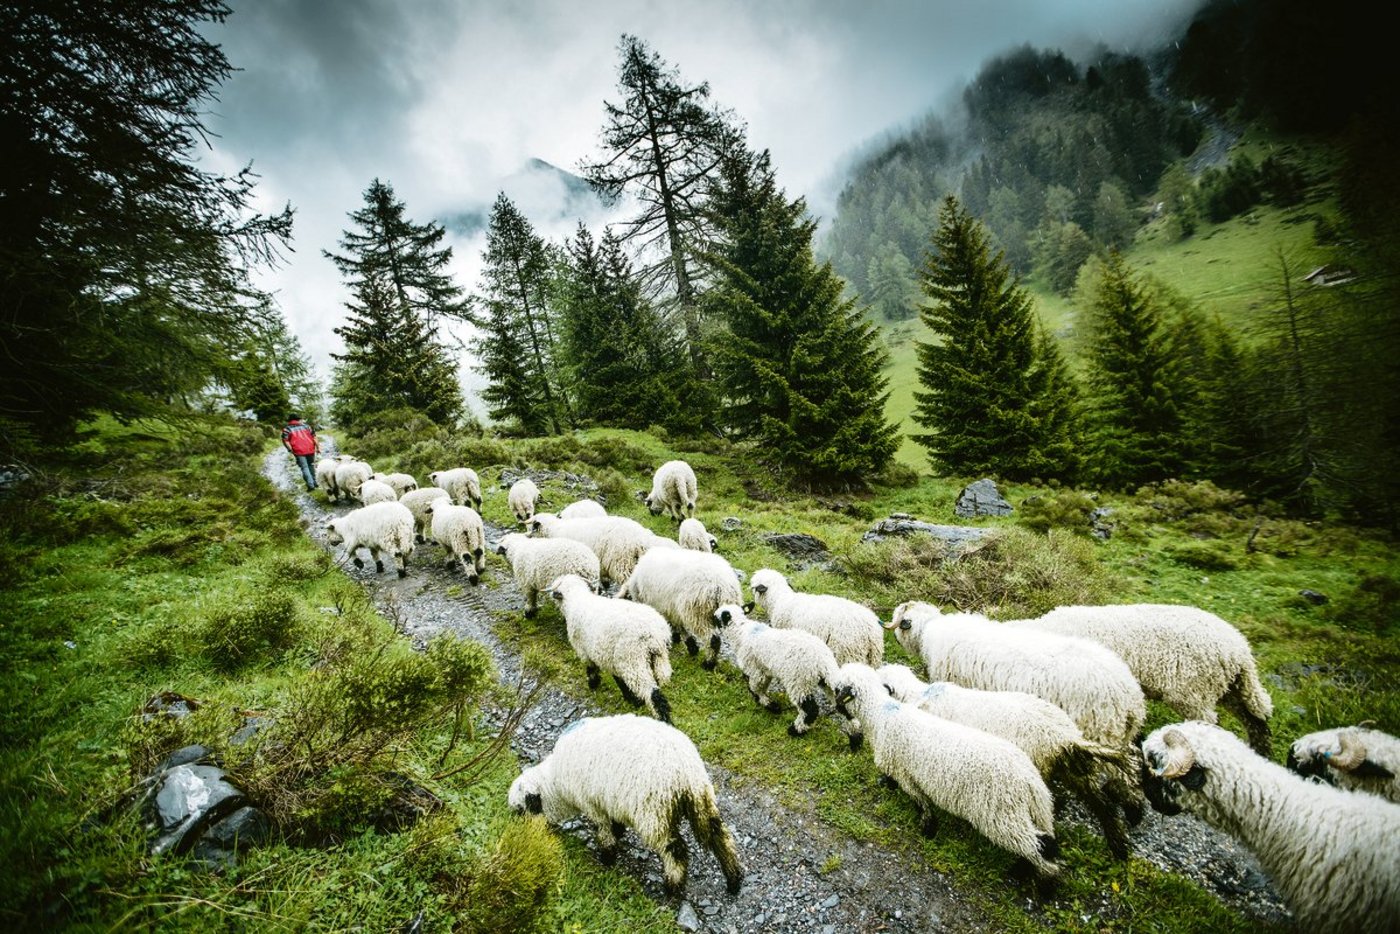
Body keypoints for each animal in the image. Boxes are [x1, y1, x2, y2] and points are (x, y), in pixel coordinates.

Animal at [508, 713, 744, 897]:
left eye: (520, 810)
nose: (521, 834)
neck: (555, 785)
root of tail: (685, 771)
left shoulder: (591, 804)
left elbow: (603, 831)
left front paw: (607, 857)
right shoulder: (609, 800)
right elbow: (614, 822)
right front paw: (619, 832)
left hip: (654, 812)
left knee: (674, 849)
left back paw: (672, 886)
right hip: (702, 801)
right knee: (719, 835)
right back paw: (733, 880)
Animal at [549, 574, 674, 722]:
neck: (576, 600)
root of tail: (653, 633)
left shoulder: (586, 652)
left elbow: (593, 670)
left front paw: (593, 684)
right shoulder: (610, 658)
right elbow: (618, 679)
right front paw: (632, 699)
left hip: (632, 660)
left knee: (653, 694)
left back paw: (664, 720)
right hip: (658, 658)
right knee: (659, 681)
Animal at [715, 604, 849, 743]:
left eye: (715, 618)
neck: (741, 632)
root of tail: (823, 660)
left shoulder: (755, 669)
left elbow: (756, 687)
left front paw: (767, 704)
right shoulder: (765, 669)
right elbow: (761, 686)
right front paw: (769, 703)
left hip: (799, 680)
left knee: (810, 709)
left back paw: (796, 730)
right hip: (825, 680)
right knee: (843, 705)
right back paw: (854, 738)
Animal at [834, 663, 1061, 882]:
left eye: (837, 689)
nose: (837, 708)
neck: (882, 714)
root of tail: (1030, 781)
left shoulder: (906, 775)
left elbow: (921, 804)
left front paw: (928, 830)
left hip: (1001, 814)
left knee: (1037, 845)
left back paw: (1039, 880)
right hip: (1035, 812)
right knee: (1045, 838)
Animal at [1008, 603, 1274, 755]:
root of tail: (1240, 649)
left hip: (1193, 691)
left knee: (1210, 723)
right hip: (1229, 687)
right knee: (1255, 718)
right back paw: (1261, 752)